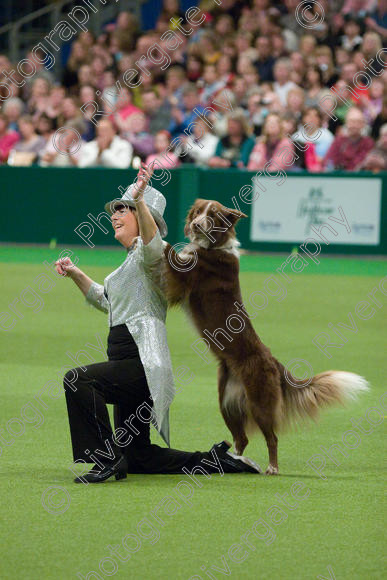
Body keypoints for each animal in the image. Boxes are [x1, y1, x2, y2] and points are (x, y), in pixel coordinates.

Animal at [164, 199, 370, 476]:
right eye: (197, 212)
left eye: (213, 216)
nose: (196, 224)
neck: (213, 245)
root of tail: (274, 362)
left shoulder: (185, 275)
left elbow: (167, 252)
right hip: (226, 402)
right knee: (241, 438)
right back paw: (232, 461)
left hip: (259, 403)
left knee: (271, 437)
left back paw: (272, 467)